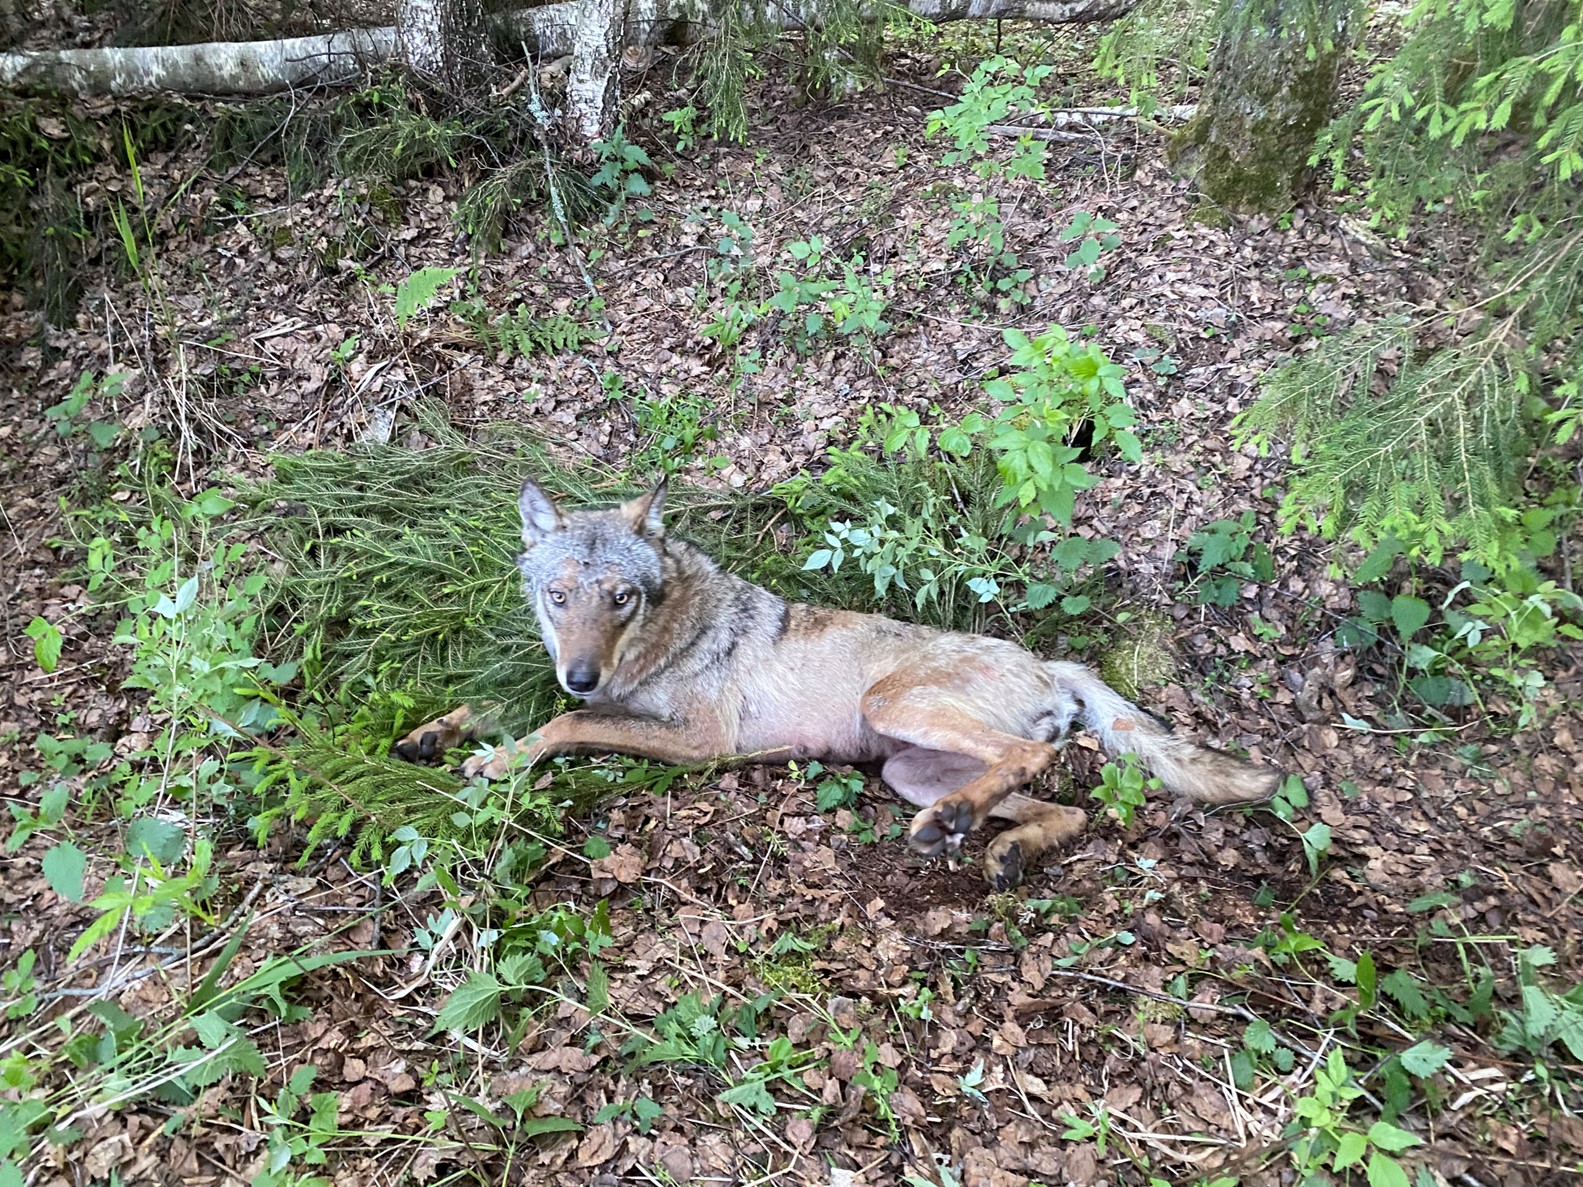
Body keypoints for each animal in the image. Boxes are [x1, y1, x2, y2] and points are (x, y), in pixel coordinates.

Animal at [395, 477, 1281, 889]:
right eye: (558, 596)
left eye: (620, 598)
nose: (580, 671)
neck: (663, 628)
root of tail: (1051, 661)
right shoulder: (598, 693)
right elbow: (514, 702)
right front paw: (438, 729)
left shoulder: (698, 740)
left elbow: (562, 726)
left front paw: (500, 760)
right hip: (905, 770)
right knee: (1064, 807)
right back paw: (998, 847)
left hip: (894, 709)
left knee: (1033, 763)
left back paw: (963, 826)